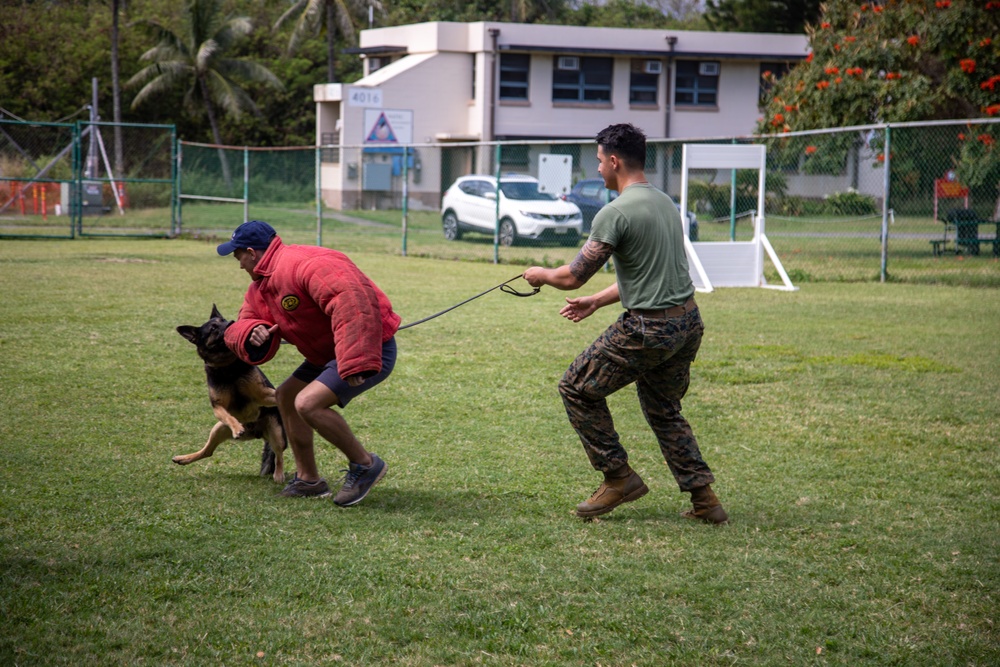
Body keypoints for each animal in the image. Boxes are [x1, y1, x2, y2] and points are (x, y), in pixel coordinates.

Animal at [175, 306, 286, 482]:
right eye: (213, 328)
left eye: (225, 320)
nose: (232, 323)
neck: (228, 367)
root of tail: (257, 433)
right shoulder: (218, 406)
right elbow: (228, 416)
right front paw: (236, 428)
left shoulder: (263, 395)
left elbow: (275, 393)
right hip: (218, 429)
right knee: (208, 451)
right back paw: (183, 458)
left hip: (276, 432)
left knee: (279, 455)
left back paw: (279, 475)